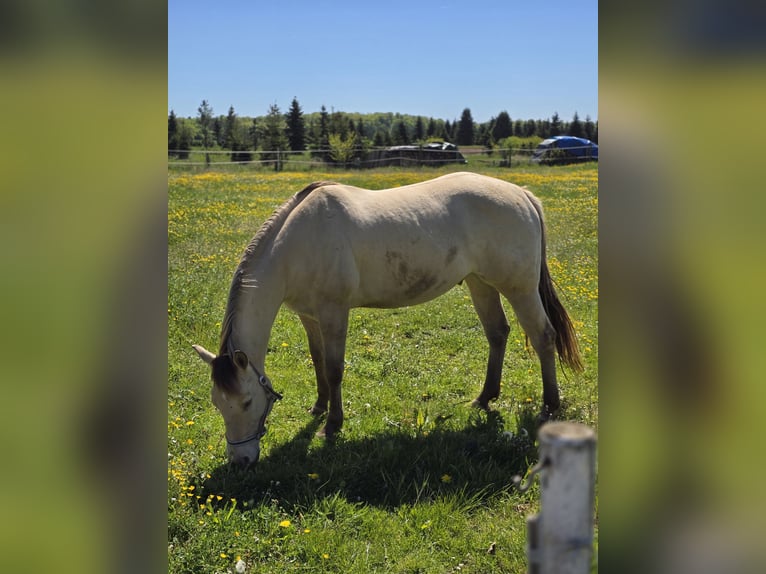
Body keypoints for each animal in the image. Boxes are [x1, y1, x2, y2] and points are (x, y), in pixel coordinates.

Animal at [193, 172, 583, 466]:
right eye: (217, 402)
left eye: (246, 402)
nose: (240, 461)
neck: (296, 244)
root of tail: (522, 194)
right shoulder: (309, 315)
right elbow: (317, 361)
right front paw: (319, 407)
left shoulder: (334, 311)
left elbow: (334, 369)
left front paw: (332, 425)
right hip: (480, 283)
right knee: (497, 333)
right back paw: (484, 398)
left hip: (519, 288)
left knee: (543, 335)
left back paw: (549, 405)